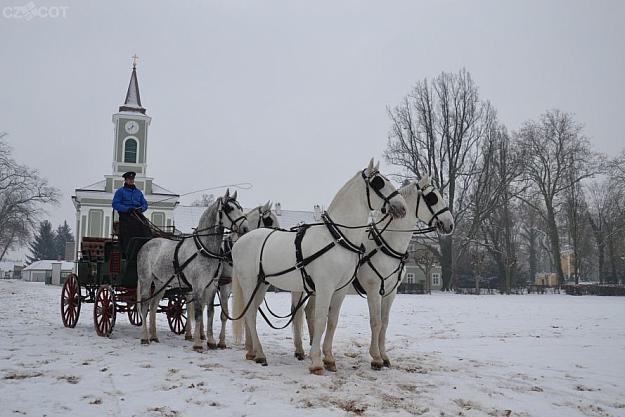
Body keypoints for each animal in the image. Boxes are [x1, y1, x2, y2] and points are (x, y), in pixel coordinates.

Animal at [137, 190, 249, 350]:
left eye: (240, 207)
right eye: (229, 208)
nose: (245, 228)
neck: (205, 249)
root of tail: (147, 243)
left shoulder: (212, 286)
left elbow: (210, 312)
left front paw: (211, 341)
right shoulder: (197, 286)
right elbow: (197, 313)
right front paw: (197, 343)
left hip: (161, 283)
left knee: (153, 306)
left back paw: (154, 336)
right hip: (146, 280)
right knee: (144, 305)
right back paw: (145, 337)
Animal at [182, 202, 276, 348]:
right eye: (269, 220)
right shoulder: (224, 286)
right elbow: (224, 314)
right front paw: (221, 341)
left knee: (202, 306)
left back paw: (202, 334)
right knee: (189, 303)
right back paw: (189, 333)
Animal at [232, 159, 408, 374]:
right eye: (379, 182)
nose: (402, 208)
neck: (337, 237)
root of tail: (239, 242)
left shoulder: (340, 289)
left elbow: (332, 321)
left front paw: (330, 359)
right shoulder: (325, 287)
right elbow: (321, 319)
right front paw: (316, 362)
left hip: (262, 284)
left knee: (254, 312)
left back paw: (253, 352)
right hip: (249, 283)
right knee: (250, 314)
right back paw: (260, 354)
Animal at [294, 175, 450, 368]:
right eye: (432, 197)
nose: (450, 224)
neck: (385, 244)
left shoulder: (391, 292)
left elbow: (384, 323)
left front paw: (384, 356)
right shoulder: (373, 289)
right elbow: (375, 322)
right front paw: (376, 357)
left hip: (318, 288)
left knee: (309, 312)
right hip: (302, 288)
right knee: (297, 314)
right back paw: (300, 350)